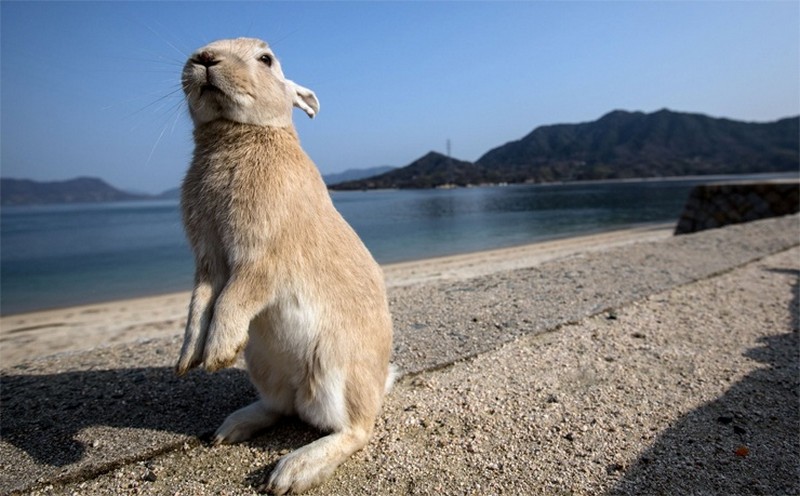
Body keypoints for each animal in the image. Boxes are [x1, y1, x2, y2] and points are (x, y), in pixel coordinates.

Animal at [178, 36, 396, 494]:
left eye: (266, 59)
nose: (204, 58)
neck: (238, 135)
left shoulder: (261, 260)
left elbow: (233, 297)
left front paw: (218, 354)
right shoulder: (207, 262)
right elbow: (200, 302)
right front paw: (189, 360)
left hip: (334, 370)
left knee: (354, 430)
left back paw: (290, 473)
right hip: (264, 365)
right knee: (281, 408)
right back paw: (230, 429)